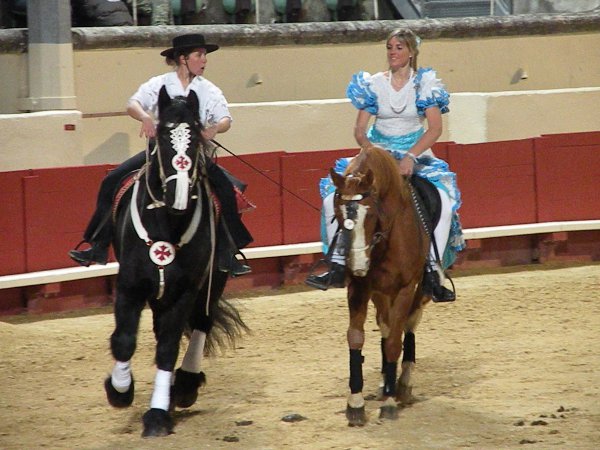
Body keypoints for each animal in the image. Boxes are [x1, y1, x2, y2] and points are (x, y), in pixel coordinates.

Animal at [103, 84, 246, 436]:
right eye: (163, 136)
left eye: (195, 137)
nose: (179, 199)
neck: (168, 224)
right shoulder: (129, 285)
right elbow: (124, 340)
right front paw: (120, 390)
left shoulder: (185, 290)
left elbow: (168, 348)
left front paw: (157, 414)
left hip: (212, 282)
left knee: (201, 323)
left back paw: (183, 387)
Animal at [330, 144, 434, 426]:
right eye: (337, 213)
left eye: (371, 214)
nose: (358, 264)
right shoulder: (360, 287)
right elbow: (356, 338)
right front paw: (355, 403)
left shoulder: (406, 288)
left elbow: (394, 343)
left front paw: (388, 403)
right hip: (381, 293)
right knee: (386, 326)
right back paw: (385, 382)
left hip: (419, 290)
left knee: (408, 325)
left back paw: (402, 385)